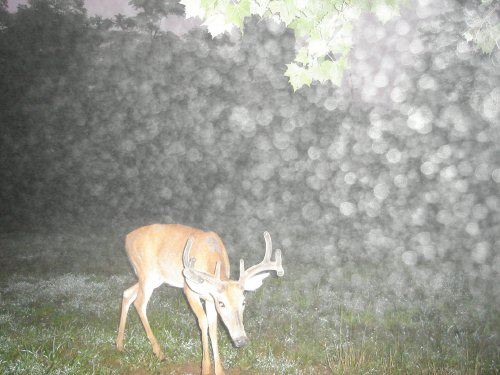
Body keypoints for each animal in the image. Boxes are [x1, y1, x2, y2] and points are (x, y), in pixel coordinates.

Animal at [114, 225, 284, 374]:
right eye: (222, 303)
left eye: (243, 302)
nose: (241, 340)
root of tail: (127, 238)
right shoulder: (189, 290)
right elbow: (203, 322)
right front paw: (205, 368)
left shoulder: (209, 298)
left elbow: (213, 327)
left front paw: (219, 370)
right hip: (147, 273)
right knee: (139, 303)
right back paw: (159, 352)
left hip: (154, 278)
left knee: (127, 293)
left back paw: (119, 345)